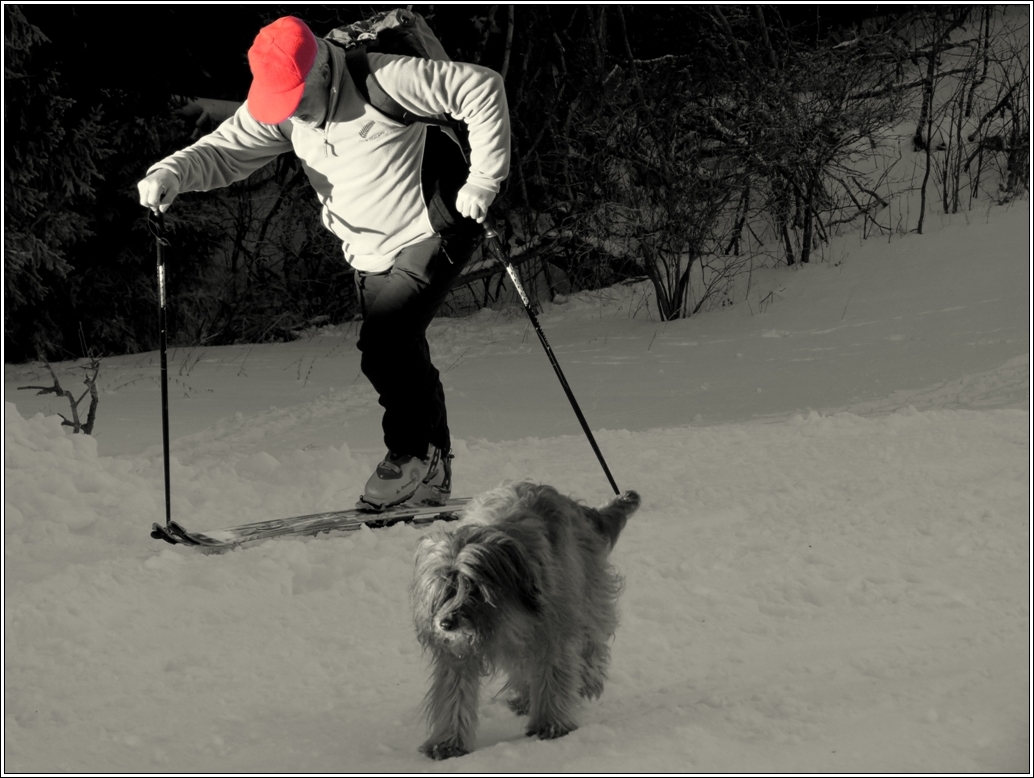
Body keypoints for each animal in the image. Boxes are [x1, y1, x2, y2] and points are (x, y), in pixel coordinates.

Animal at [409, 480, 636, 761]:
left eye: (472, 587)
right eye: (442, 587)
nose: (445, 624)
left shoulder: (553, 629)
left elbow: (554, 673)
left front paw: (551, 723)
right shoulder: (460, 650)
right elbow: (454, 693)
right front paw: (448, 742)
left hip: (587, 592)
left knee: (592, 639)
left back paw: (586, 681)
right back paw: (527, 697)